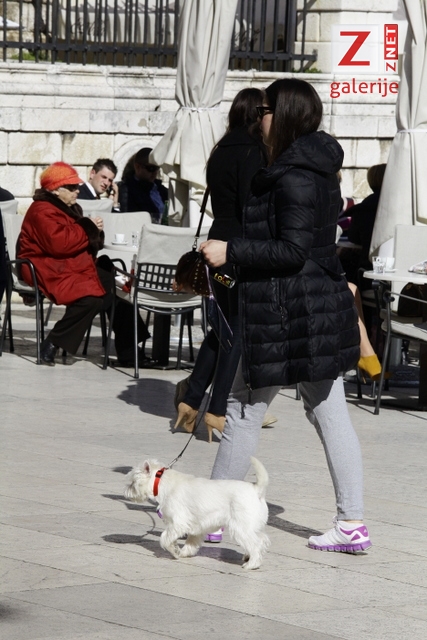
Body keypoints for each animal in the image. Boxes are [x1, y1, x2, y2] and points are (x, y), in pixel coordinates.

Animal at [124, 457, 270, 570]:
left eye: (132, 482)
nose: (125, 492)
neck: (161, 482)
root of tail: (257, 489)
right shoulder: (196, 527)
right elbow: (190, 543)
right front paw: (183, 552)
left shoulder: (178, 523)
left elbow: (165, 537)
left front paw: (175, 551)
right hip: (252, 526)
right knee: (262, 540)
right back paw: (248, 557)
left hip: (241, 527)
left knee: (256, 544)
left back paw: (252, 564)